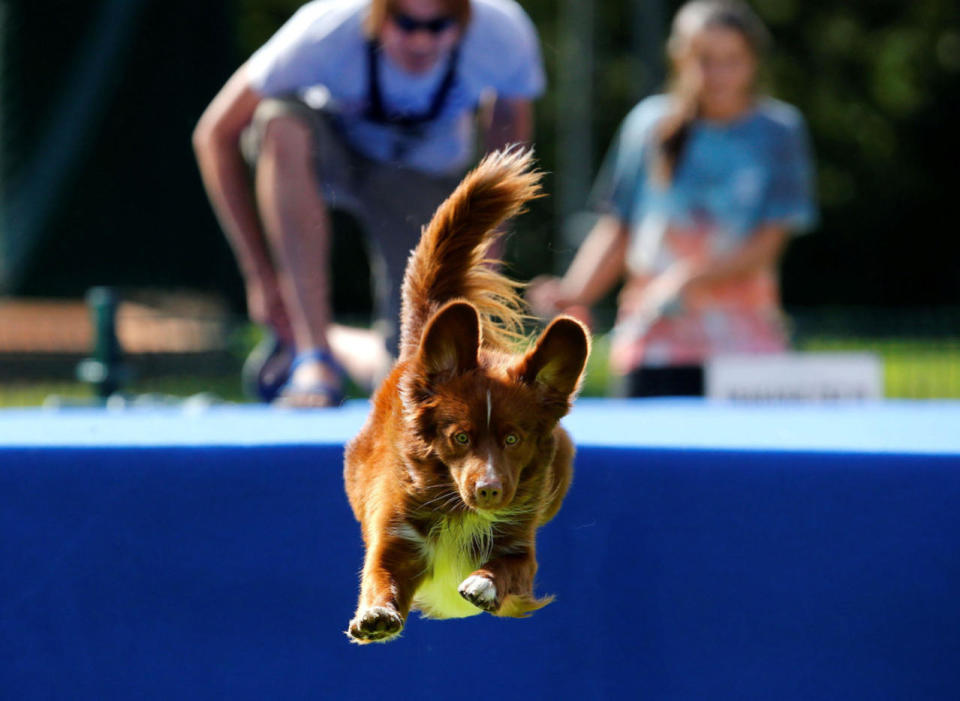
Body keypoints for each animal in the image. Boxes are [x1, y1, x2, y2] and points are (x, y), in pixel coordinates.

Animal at [342, 150, 588, 644]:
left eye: (513, 439)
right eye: (459, 438)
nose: (489, 489)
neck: (460, 510)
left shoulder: (521, 553)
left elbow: (508, 568)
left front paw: (483, 583)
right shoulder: (392, 533)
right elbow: (381, 574)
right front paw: (376, 613)